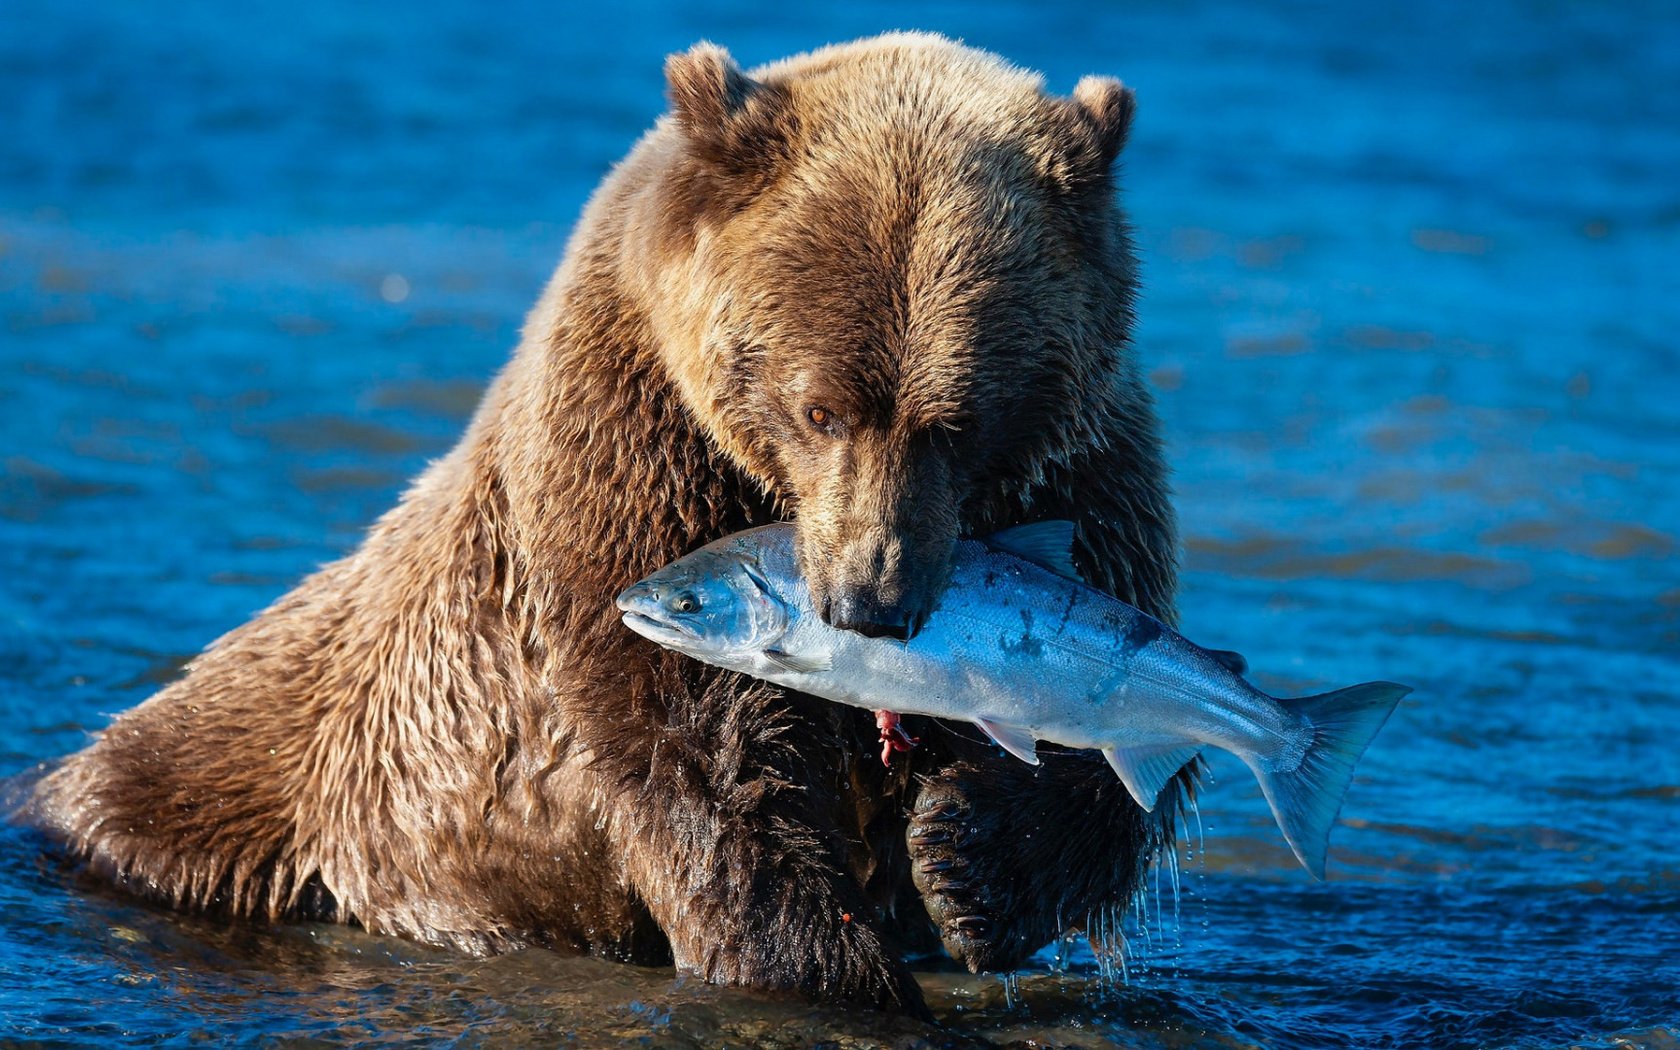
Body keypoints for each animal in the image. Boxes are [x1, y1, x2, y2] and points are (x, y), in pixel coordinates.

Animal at [26, 34, 1182, 1014]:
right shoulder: (634, 455)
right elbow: (699, 743)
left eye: (959, 420)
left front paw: (966, 860)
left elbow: (1117, 719)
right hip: (270, 771)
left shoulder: (1082, 474)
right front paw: (823, 963)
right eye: (820, 407)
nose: (871, 602)